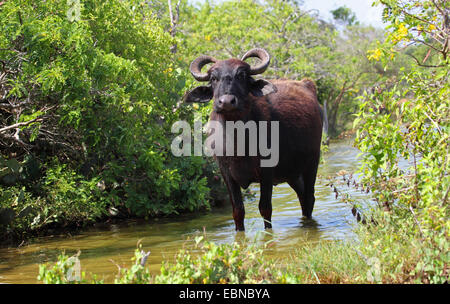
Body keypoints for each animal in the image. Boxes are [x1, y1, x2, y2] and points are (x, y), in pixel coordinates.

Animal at [184, 48, 324, 230]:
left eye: (241, 75)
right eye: (214, 78)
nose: (226, 101)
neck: (237, 140)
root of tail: (308, 85)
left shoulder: (267, 171)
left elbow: (265, 208)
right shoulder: (226, 172)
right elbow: (238, 211)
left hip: (312, 162)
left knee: (309, 197)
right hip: (292, 173)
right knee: (302, 195)